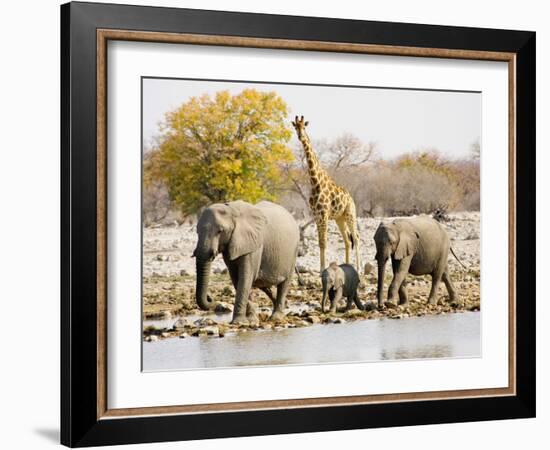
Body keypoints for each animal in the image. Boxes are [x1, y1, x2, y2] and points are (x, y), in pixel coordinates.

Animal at [292, 114, 364, 272]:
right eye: (295, 127)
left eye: (304, 126)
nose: (300, 136)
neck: (315, 182)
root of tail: (351, 199)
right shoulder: (317, 215)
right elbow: (320, 242)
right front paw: (321, 268)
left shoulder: (323, 214)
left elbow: (324, 242)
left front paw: (322, 269)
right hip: (339, 218)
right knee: (347, 240)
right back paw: (347, 265)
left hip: (350, 214)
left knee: (356, 237)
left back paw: (358, 268)